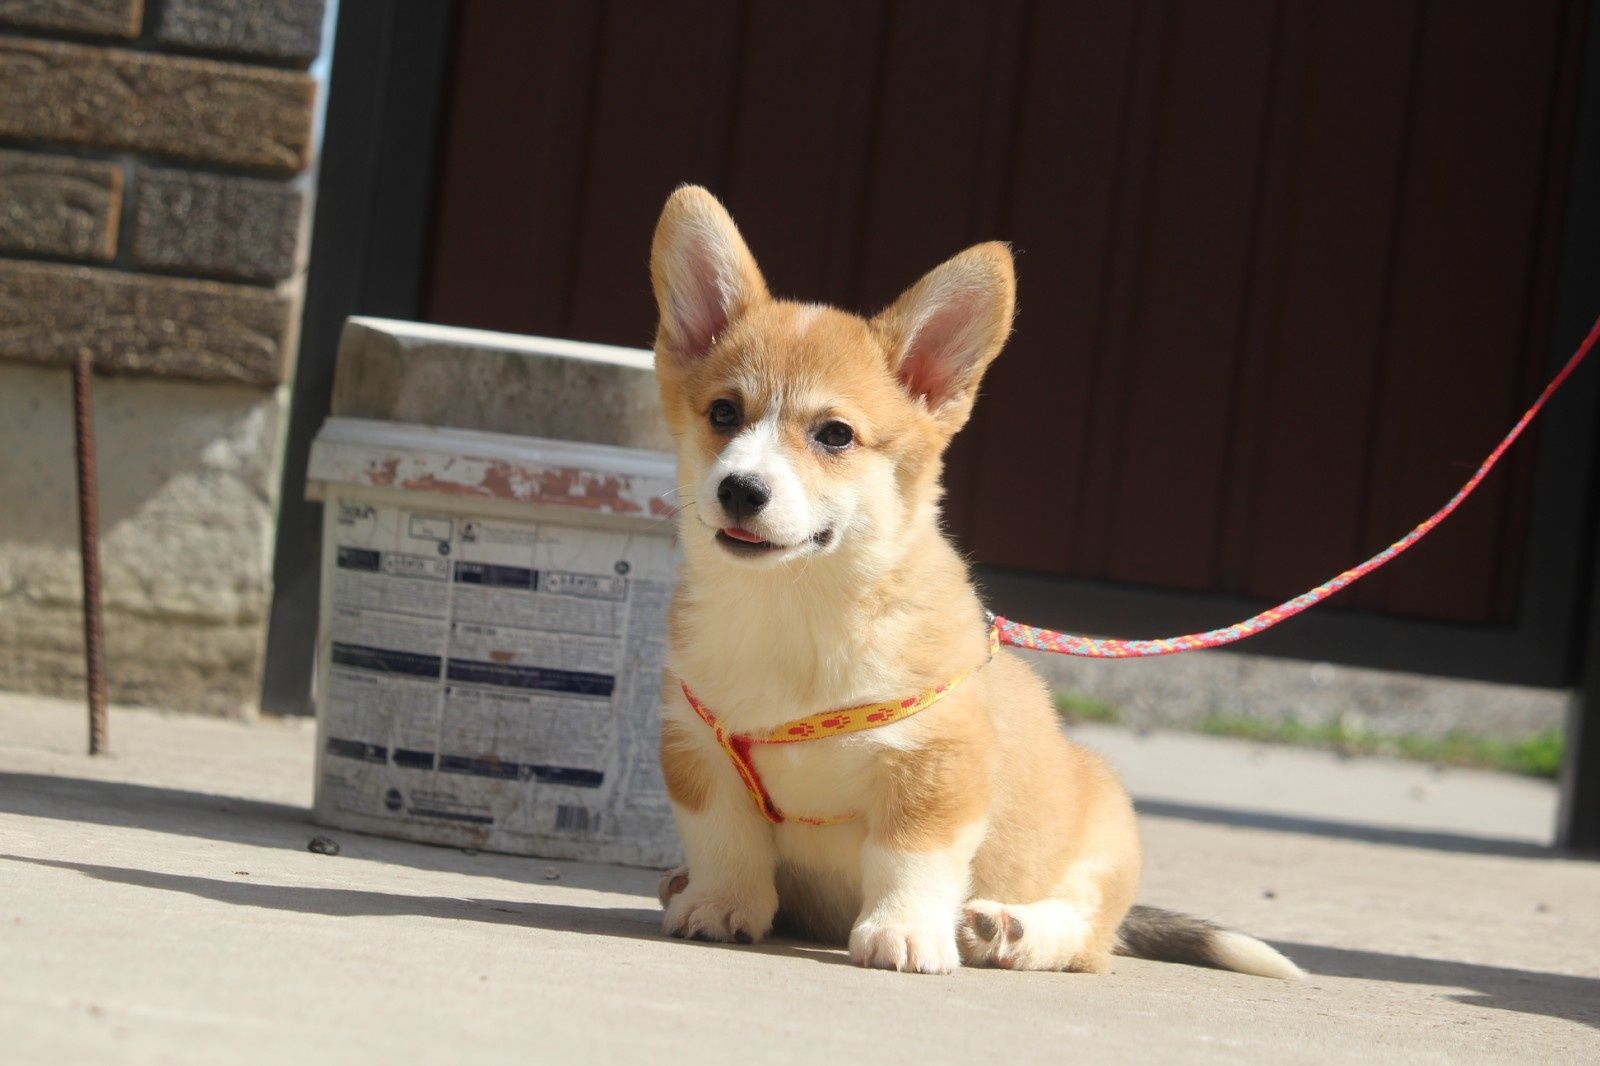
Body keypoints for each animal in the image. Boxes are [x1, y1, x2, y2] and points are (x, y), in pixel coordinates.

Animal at [646, 186, 1299, 973]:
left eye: (834, 434)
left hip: (1107, 833)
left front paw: (903, 933)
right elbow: (725, 845)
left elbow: (909, 859)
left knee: (1086, 934)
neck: (798, 607)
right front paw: (718, 905)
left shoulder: (936, 769)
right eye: (723, 413)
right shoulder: (699, 753)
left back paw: (1010, 931)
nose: (740, 490)